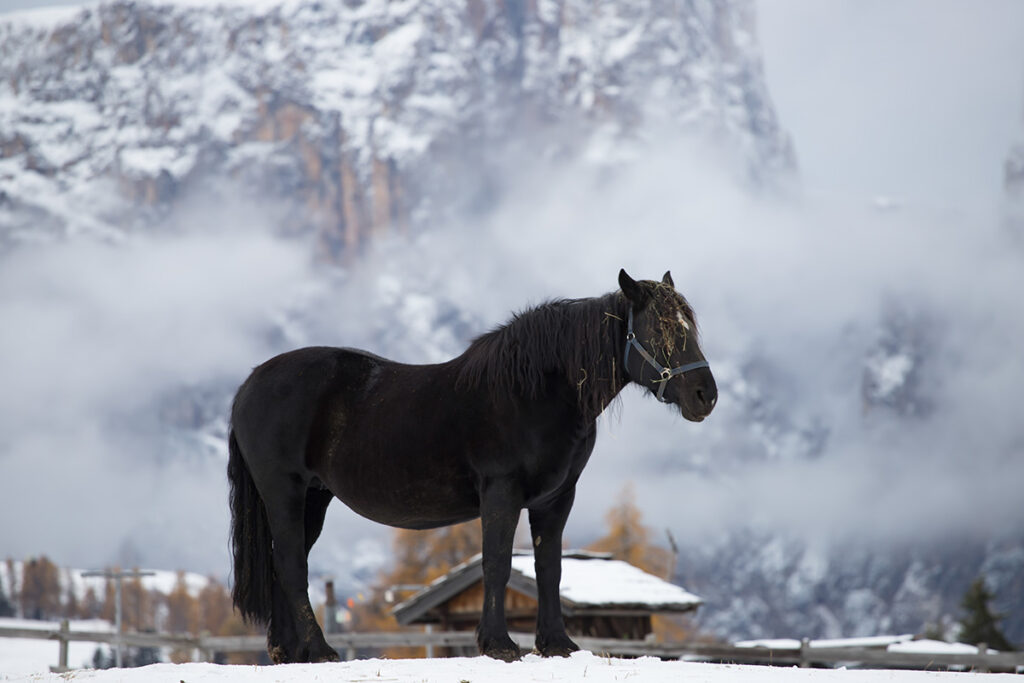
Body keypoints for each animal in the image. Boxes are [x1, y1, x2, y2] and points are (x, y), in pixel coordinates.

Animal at [227, 269, 717, 663]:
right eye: (658, 330)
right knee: (292, 565)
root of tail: (250, 384)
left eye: (688, 327)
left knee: (283, 565)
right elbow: (496, 563)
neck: (537, 391)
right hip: (285, 490)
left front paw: (557, 644)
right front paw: (499, 644)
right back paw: (321, 650)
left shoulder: (556, 498)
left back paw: (290, 652)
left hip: (314, 497)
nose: (704, 396)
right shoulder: (501, 491)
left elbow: (549, 568)